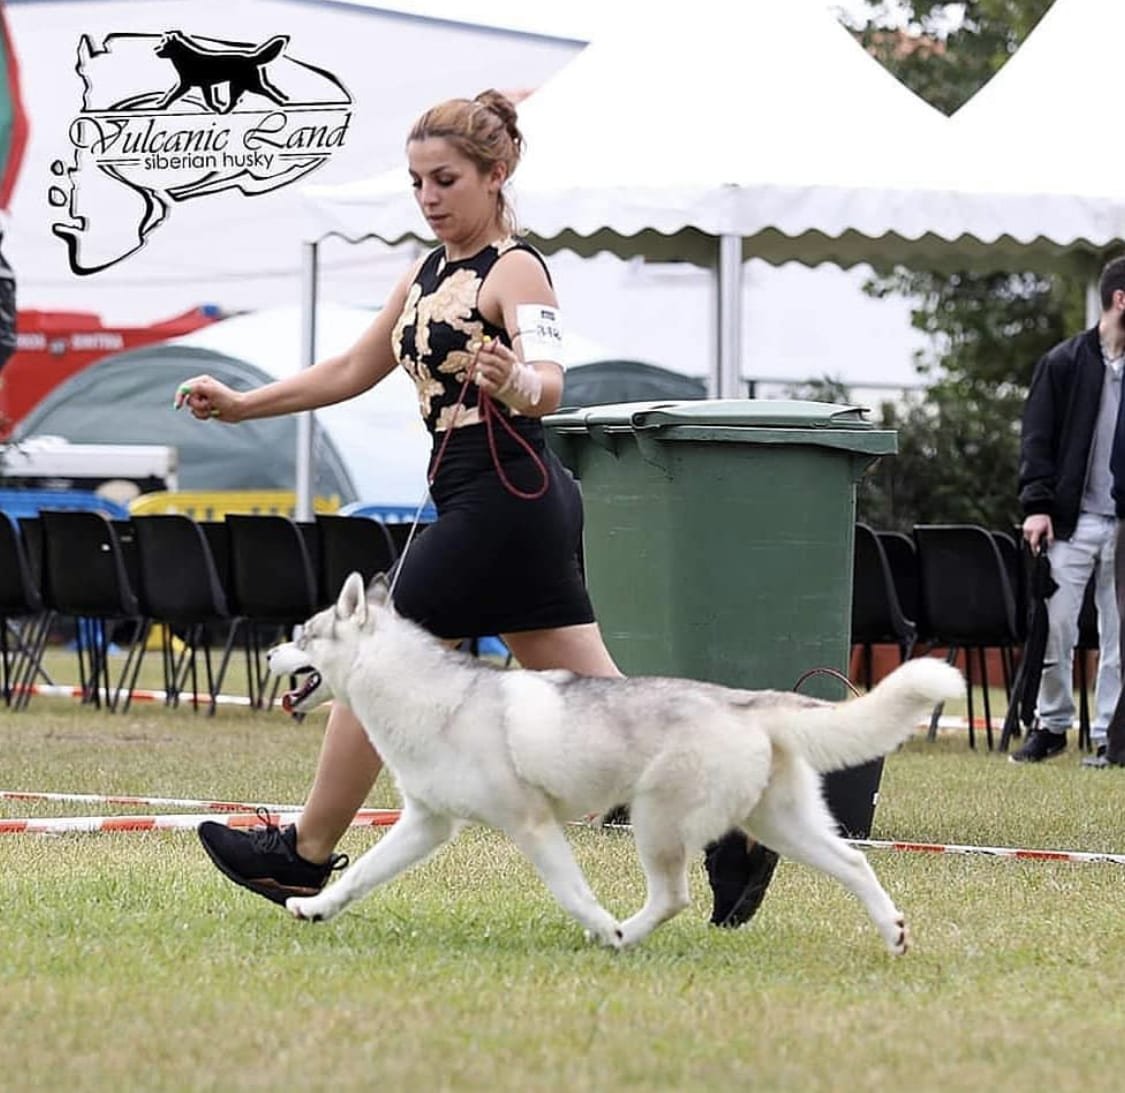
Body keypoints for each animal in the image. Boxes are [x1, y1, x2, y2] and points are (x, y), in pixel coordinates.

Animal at [270, 575, 958, 953]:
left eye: (302, 634)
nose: (274, 651)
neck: (432, 695)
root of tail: (744, 702)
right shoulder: (425, 824)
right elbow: (362, 874)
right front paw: (313, 907)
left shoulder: (531, 825)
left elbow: (573, 893)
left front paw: (602, 929)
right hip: (782, 824)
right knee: (853, 862)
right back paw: (892, 931)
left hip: (657, 823)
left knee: (676, 895)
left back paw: (627, 933)